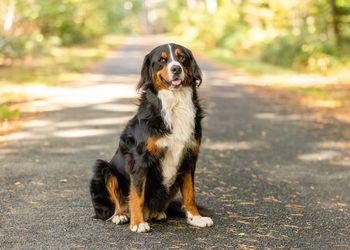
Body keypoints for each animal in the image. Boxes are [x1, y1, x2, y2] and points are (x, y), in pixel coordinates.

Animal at [89, 43, 213, 232]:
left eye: (181, 57)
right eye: (162, 60)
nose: (176, 68)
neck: (174, 104)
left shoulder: (189, 158)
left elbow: (190, 194)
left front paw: (196, 218)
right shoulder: (140, 160)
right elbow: (137, 195)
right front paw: (138, 223)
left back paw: (158, 213)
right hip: (104, 169)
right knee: (112, 204)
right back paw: (120, 215)